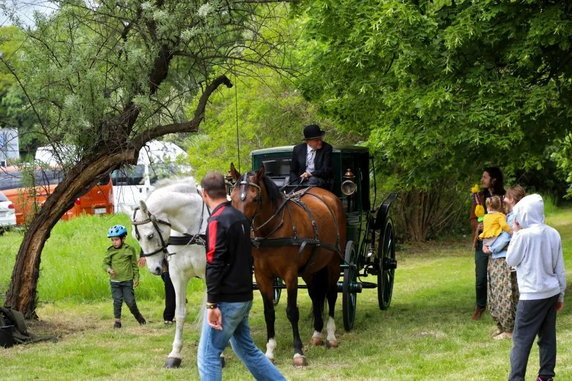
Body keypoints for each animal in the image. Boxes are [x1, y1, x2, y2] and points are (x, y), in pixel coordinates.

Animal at [130, 178, 208, 368]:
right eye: (136, 238)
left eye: (150, 236)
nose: (154, 269)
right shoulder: (177, 276)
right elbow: (180, 315)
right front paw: (175, 354)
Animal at [227, 163, 344, 366]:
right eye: (232, 197)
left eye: (255, 198)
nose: (238, 229)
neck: (271, 231)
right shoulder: (262, 276)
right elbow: (269, 313)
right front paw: (270, 351)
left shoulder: (290, 275)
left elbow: (292, 311)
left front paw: (298, 352)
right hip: (311, 269)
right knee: (316, 295)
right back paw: (317, 333)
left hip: (334, 263)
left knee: (331, 294)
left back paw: (330, 336)